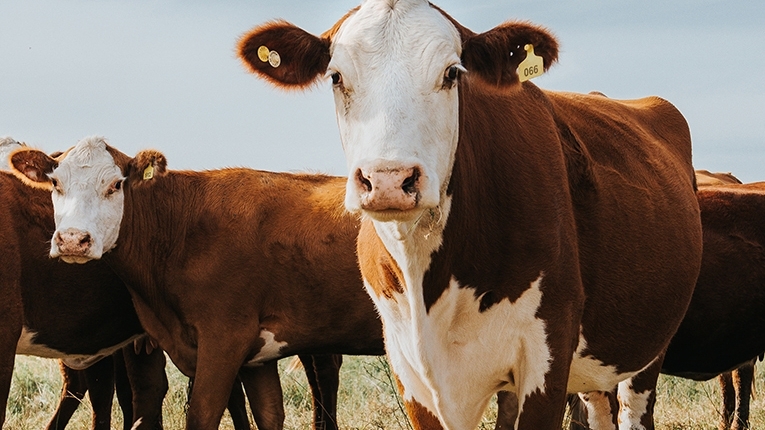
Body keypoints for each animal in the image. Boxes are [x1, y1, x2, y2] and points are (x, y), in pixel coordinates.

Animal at [11, 139, 390, 430]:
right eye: (56, 185)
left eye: (115, 185)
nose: (73, 240)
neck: (181, 228)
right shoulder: (257, 359)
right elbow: (269, 416)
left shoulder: (224, 340)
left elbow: (202, 416)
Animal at [237, 1, 704, 428]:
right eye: (336, 77)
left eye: (451, 73)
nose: (388, 179)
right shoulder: (411, 374)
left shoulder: (547, 360)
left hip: (646, 350)